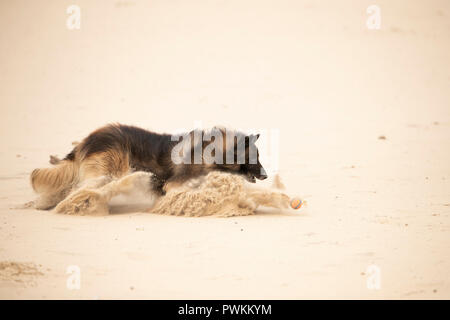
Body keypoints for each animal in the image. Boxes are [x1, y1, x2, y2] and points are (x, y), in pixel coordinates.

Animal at [30, 124, 268, 214]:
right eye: (254, 157)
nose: (265, 175)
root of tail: (88, 140)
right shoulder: (176, 183)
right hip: (112, 170)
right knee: (84, 189)